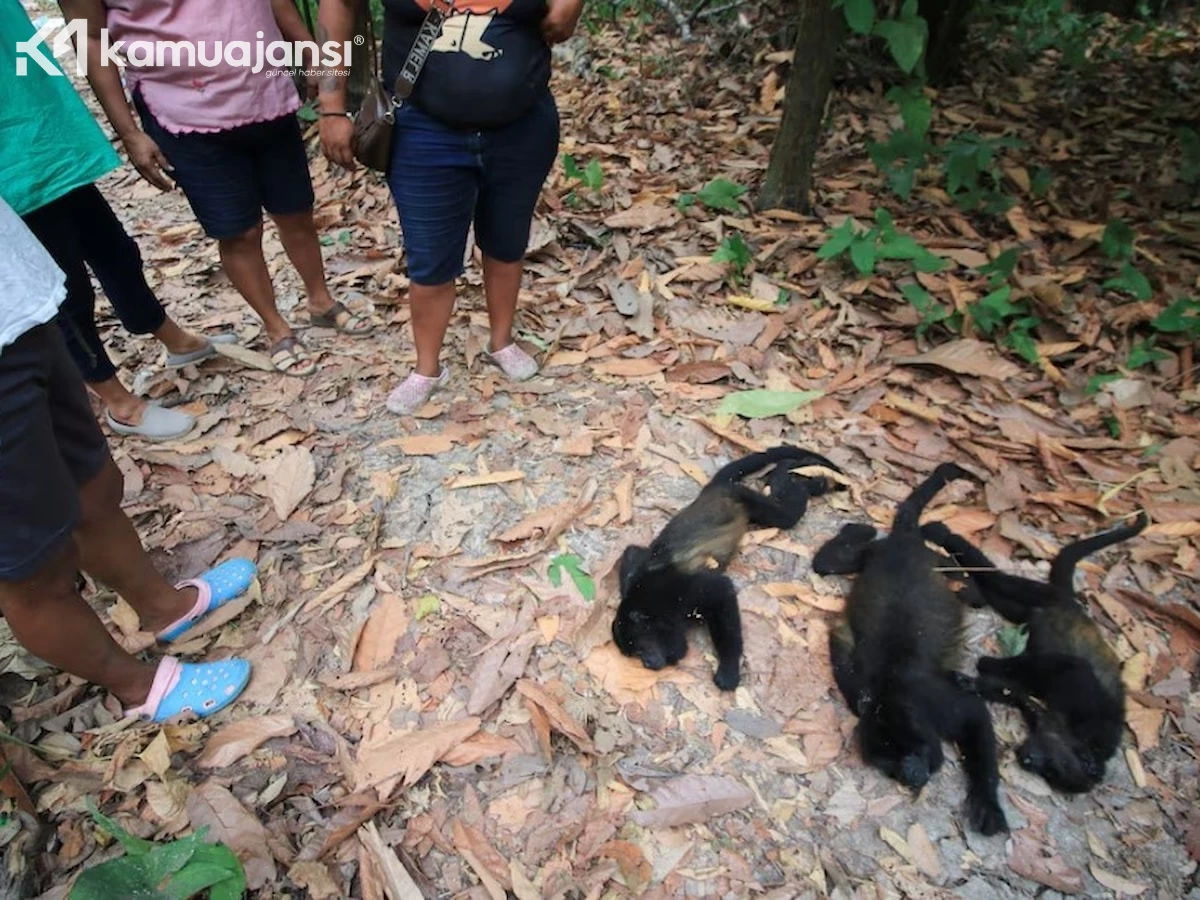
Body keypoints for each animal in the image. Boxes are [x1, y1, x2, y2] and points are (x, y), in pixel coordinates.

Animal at [614, 448, 849, 696]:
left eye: (639, 649)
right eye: (635, 655)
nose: (648, 663)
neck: (652, 604)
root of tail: (714, 489)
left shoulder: (685, 591)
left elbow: (722, 592)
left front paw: (728, 669)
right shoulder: (639, 572)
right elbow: (632, 552)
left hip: (743, 496)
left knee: (786, 514)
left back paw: (796, 476)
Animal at [811, 465, 1008, 840]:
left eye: (906, 752)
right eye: (887, 765)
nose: (910, 775)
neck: (892, 696)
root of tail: (903, 542)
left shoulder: (935, 700)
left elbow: (976, 715)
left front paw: (987, 802)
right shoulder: (862, 692)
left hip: (929, 561)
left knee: (971, 592)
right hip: (872, 555)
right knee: (827, 563)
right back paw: (855, 530)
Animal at [921, 513, 1147, 796]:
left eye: (1051, 773)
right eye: (1057, 765)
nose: (1027, 760)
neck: (1080, 739)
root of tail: (1074, 604)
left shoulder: (1044, 720)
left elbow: (1017, 695)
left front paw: (971, 683)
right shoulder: (1087, 700)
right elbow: (1070, 665)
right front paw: (987, 664)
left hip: (1032, 608)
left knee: (1002, 599)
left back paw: (969, 588)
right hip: (1045, 596)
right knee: (1002, 580)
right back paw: (944, 537)